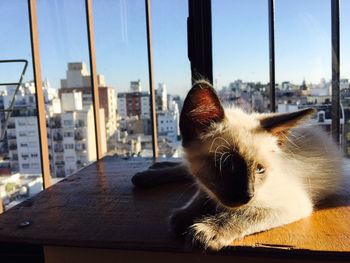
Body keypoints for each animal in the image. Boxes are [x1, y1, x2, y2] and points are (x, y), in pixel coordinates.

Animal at [131, 80, 344, 252]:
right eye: (227, 165)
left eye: (260, 169)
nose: (248, 195)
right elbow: (199, 198)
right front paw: (186, 216)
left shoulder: (291, 202)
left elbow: (243, 214)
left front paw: (205, 230)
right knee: (184, 170)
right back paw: (148, 174)